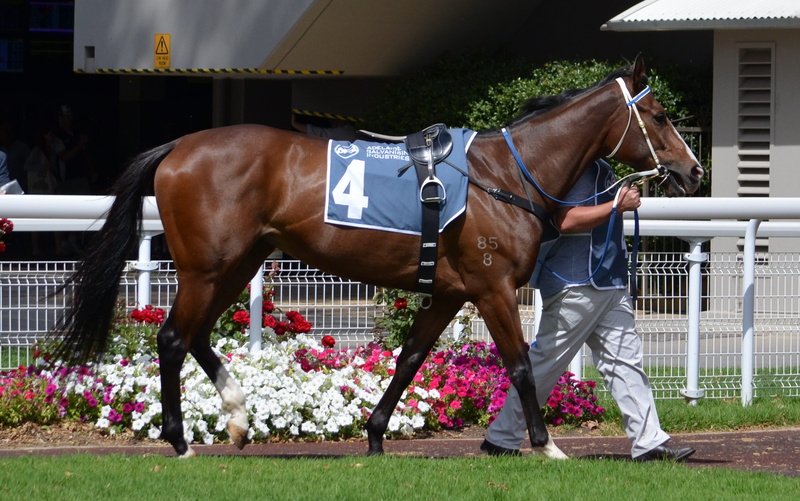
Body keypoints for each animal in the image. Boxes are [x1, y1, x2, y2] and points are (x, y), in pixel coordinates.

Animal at [54, 56, 703, 458]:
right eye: (660, 116)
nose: (694, 171)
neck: (503, 177)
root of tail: (176, 148)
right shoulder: (491, 286)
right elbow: (520, 366)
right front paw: (547, 445)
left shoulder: (450, 291)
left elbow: (410, 358)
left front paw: (373, 436)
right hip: (207, 267)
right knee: (171, 337)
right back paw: (182, 439)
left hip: (237, 262)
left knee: (196, 335)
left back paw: (237, 416)